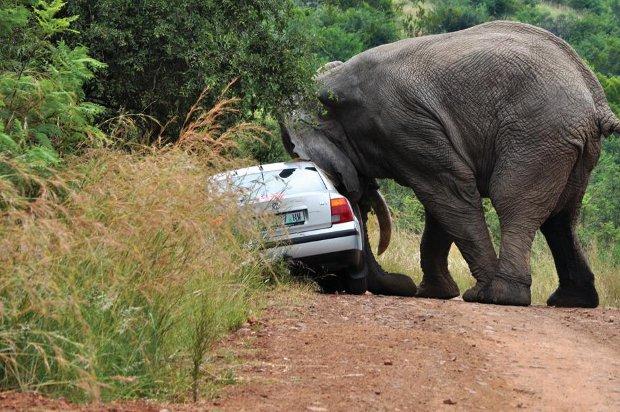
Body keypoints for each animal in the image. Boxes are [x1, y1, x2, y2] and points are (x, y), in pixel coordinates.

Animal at [282, 20, 620, 308]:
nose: (399, 285)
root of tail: (595, 101)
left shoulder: (403, 123)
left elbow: (448, 192)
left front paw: (466, 292)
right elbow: (441, 203)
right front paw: (435, 293)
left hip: (537, 132)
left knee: (512, 199)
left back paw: (497, 296)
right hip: (570, 144)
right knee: (562, 216)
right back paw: (571, 301)